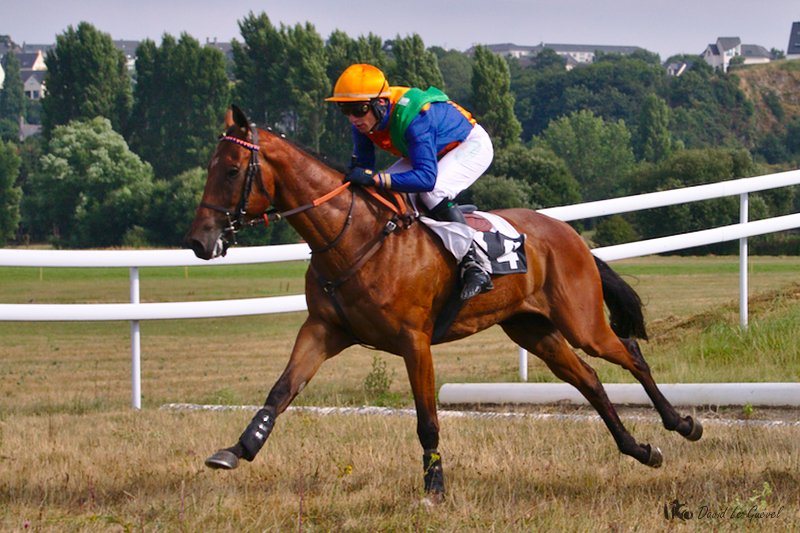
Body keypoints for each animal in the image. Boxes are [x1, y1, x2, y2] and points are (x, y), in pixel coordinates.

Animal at [185, 105, 702, 501]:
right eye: (209, 168)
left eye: (231, 170)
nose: (199, 241)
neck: (351, 236)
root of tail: (569, 234)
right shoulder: (323, 329)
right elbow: (281, 390)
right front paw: (237, 449)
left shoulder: (414, 341)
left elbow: (427, 420)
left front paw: (434, 487)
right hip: (533, 329)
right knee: (590, 380)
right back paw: (641, 450)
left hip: (581, 321)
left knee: (629, 354)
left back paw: (683, 424)